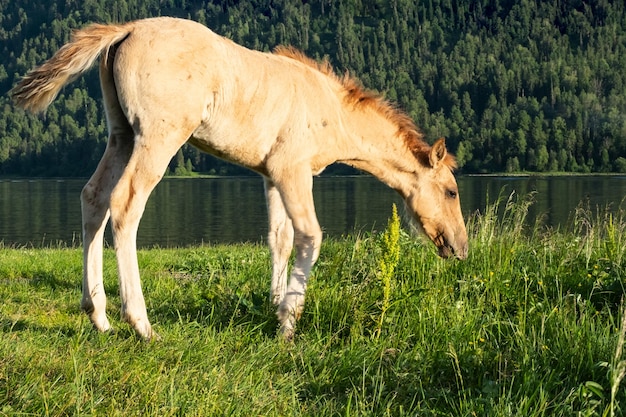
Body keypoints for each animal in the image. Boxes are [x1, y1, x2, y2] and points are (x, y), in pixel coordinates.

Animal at [12, 17, 466, 342]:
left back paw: (99, 316)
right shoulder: (293, 171)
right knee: (124, 205)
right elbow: (310, 236)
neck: (330, 110)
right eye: (450, 190)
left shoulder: (272, 176)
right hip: (157, 138)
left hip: (121, 134)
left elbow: (280, 238)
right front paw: (288, 323)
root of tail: (127, 30)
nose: (461, 248)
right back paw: (140, 324)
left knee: (94, 198)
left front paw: (275, 303)